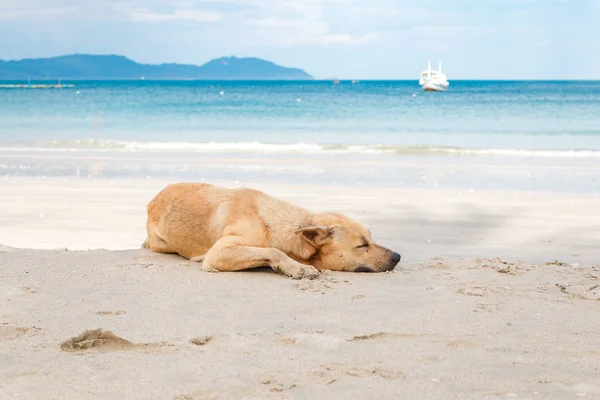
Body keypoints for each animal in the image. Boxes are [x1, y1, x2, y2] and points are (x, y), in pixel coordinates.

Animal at [142, 182, 400, 278]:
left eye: (371, 238)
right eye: (361, 245)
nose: (398, 256)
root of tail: (153, 198)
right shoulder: (219, 252)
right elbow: (273, 251)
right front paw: (295, 267)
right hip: (163, 245)